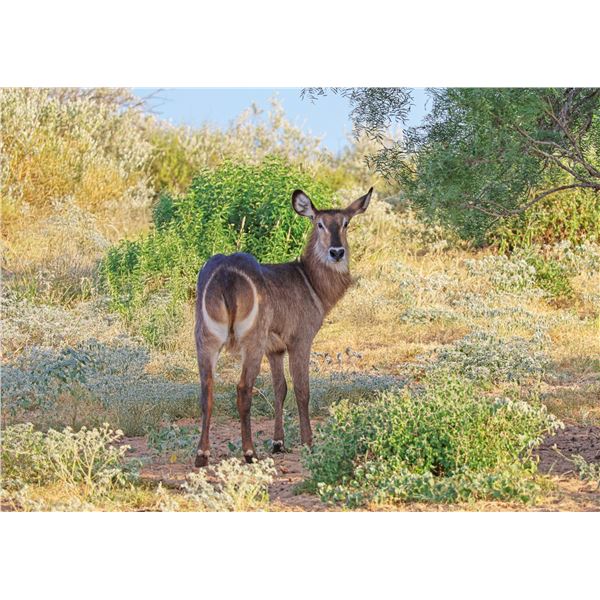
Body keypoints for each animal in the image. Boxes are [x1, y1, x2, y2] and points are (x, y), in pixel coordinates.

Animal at [194, 187, 373, 467]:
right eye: (319, 223)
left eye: (345, 223)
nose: (337, 252)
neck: (310, 281)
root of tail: (225, 274)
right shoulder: (300, 340)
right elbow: (302, 389)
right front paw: (308, 442)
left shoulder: (274, 349)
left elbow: (280, 388)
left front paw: (278, 442)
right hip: (251, 342)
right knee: (243, 389)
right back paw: (249, 453)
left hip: (206, 338)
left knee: (207, 389)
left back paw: (202, 454)